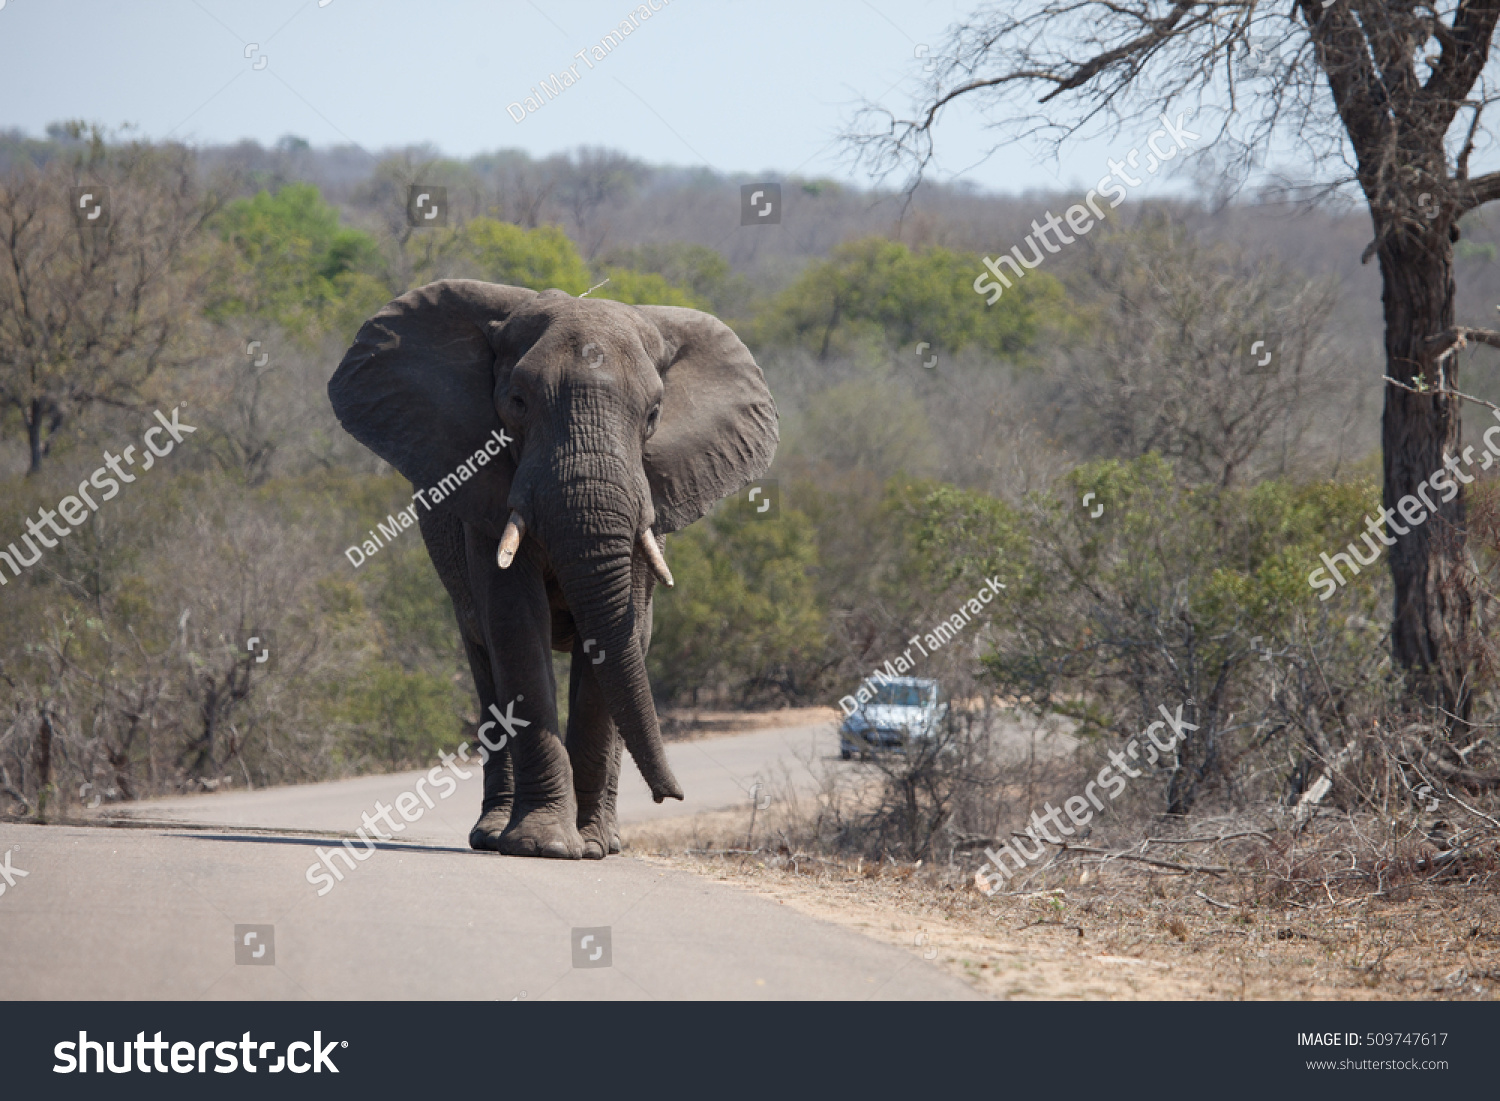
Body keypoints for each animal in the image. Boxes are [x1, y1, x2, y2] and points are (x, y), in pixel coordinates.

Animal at [325, 282, 774, 864]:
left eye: (653, 414)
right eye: (517, 402)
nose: (671, 796)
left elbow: (617, 634)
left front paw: (588, 847)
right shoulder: (485, 496)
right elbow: (516, 625)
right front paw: (544, 847)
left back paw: (606, 840)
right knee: (484, 660)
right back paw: (493, 835)